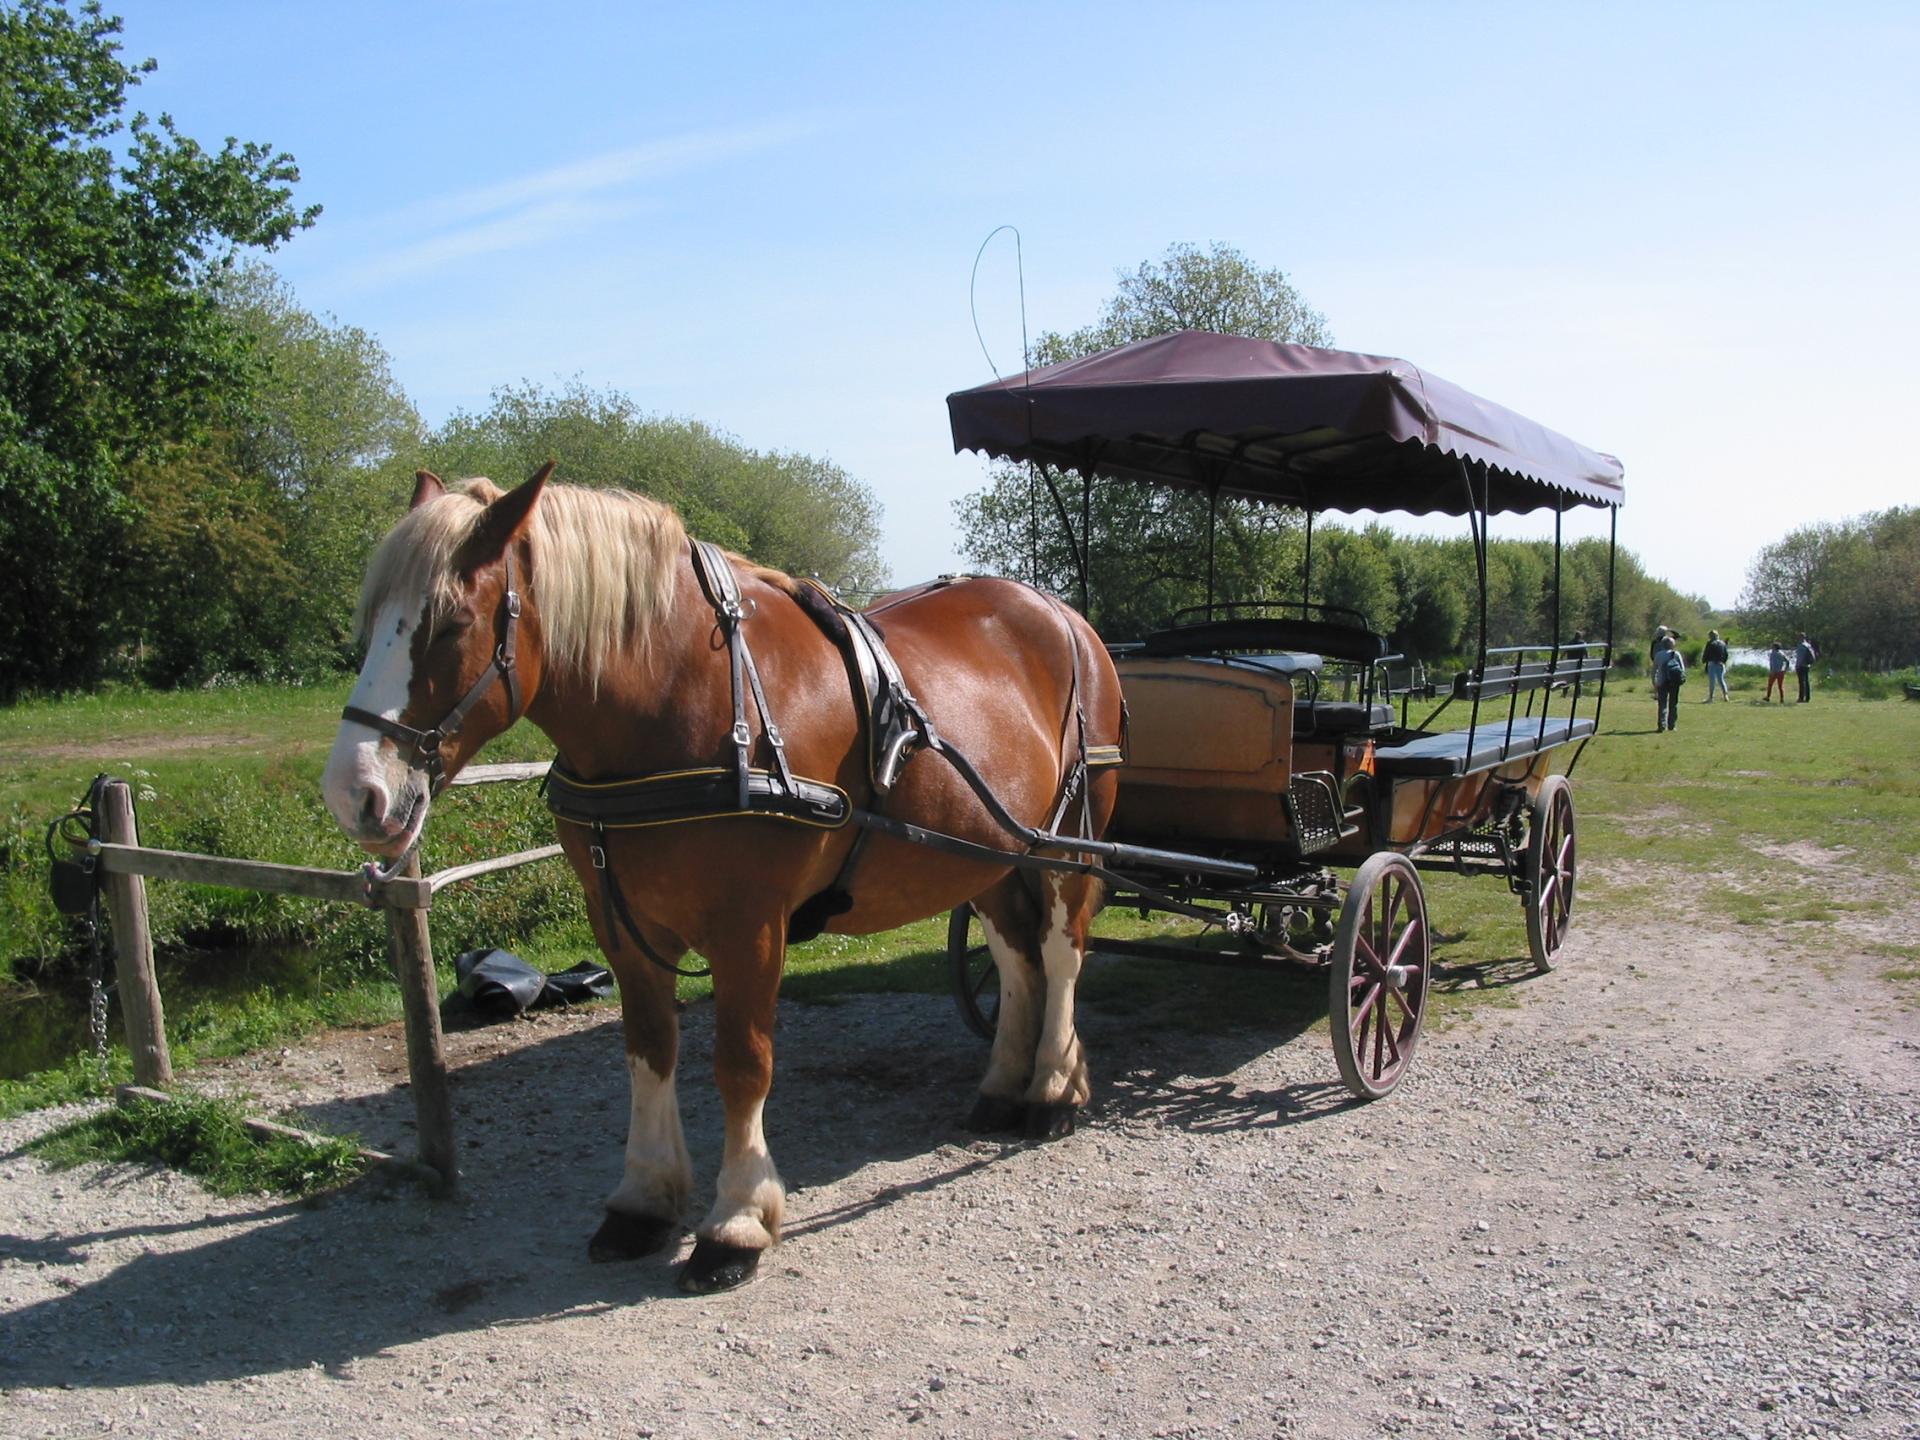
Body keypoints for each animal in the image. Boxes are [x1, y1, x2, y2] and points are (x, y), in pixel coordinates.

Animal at [318, 464, 1121, 1297]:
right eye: (371, 620)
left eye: (449, 622)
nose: (354, 792)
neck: (686, 694)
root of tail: (1061, 614)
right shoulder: (620, 920)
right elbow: (649, 1050)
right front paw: (642, 1200)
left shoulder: (750, 927)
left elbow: (742, 1064)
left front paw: (736, 1221)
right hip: (989, 851)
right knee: (1016, 958)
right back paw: (1003, 1084)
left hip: (1068, 841)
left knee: (1060, 953)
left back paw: (1054, 1089)